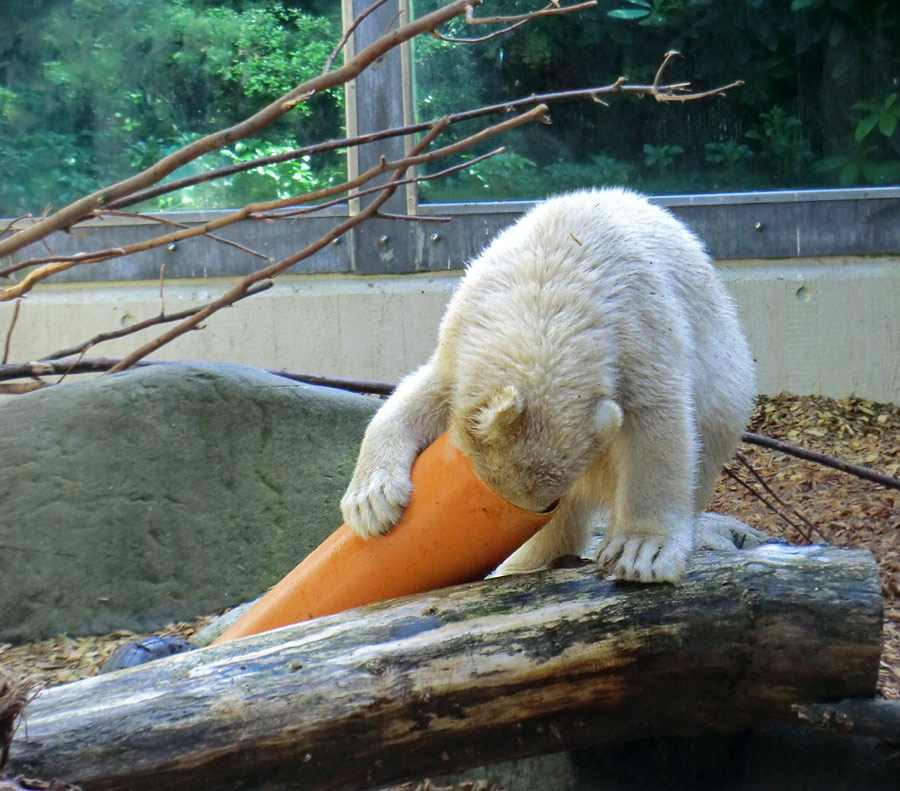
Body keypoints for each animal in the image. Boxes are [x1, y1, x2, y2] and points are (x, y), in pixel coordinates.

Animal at [342, 186, 756, 580]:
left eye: (542, 502)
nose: (538, 514)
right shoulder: (462, 334)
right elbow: (419, 394)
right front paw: (371, 502)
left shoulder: (641, 332)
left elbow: (658, 424)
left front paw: (641, 551)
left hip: (726, 380)